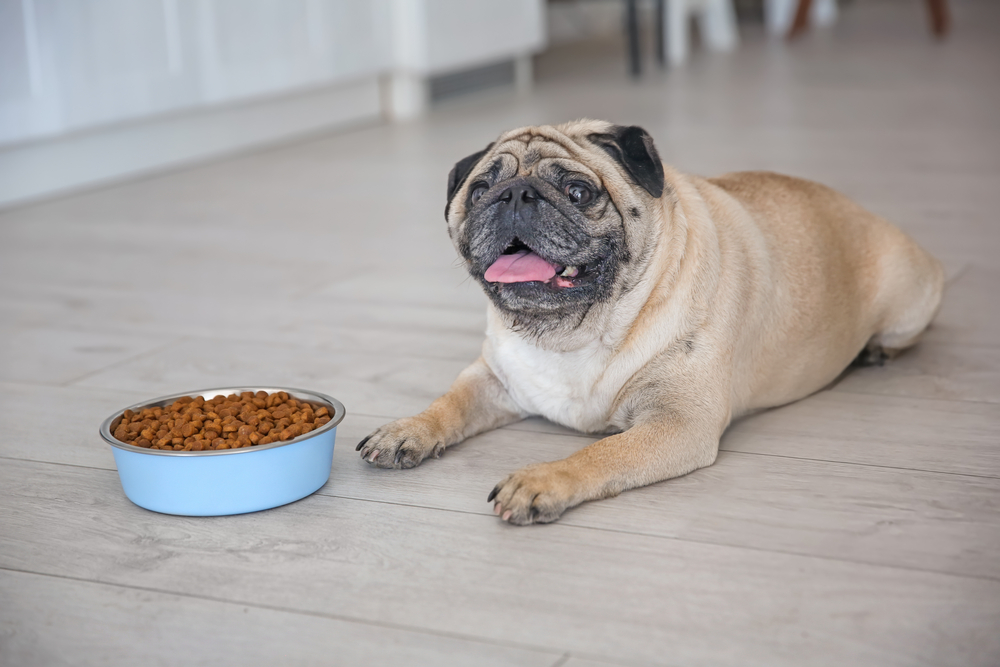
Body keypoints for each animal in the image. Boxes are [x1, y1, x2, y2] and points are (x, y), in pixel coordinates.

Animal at [356, 120, 940, 528]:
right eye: (479, 192)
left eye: (579, 193)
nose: (515, 196)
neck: (576, 333)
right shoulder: (494, 378)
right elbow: (449, 402)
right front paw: (408, 429)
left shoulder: (676, 422)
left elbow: (601, 450)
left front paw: (542, 479)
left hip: (909, 300)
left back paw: (877, 351)